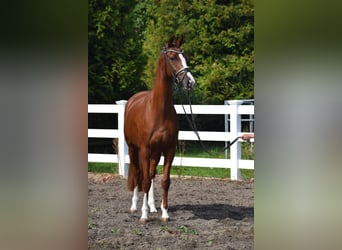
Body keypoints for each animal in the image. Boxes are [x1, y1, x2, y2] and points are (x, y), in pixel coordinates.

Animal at [124, 35, 196, 223]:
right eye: (172, 57)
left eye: (186, 57)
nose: (190, 82)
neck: (159, 110)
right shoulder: (145, 150)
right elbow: (144, 181)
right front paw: (144, 215)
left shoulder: (169, 150)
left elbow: (164, 181)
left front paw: (164, 213)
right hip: (134, 150)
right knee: (138, 174)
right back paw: (135, 206)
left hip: (156, 154)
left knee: (151, 174)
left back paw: (152, 207)